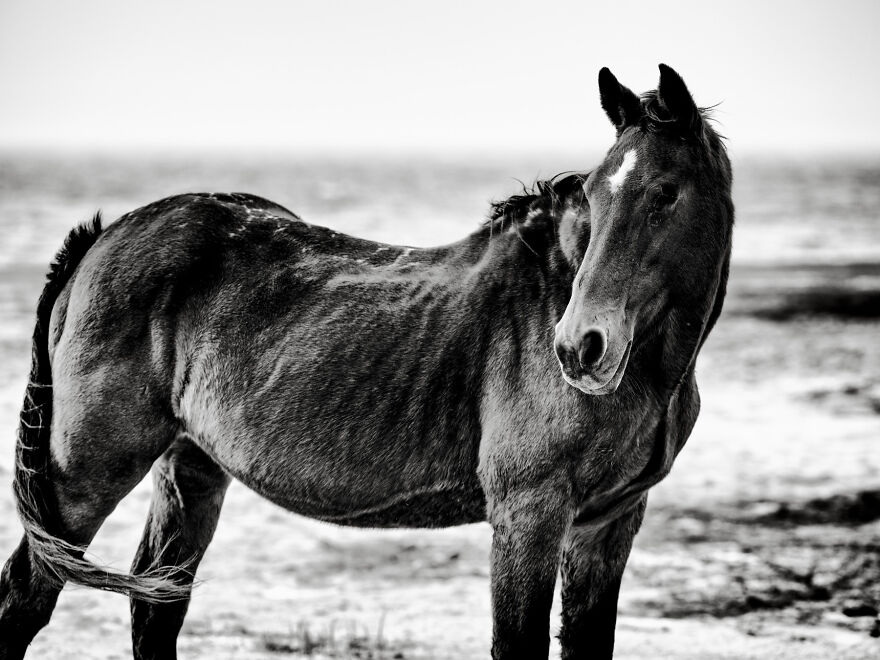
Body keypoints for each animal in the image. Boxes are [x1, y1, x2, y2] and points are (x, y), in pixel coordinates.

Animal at [0, 63, 732, 659]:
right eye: (595, 195)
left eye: (665, 192)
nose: (581, 346)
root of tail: (106, 237)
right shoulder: (529, 515)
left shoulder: (606, 525)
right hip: (84, 474)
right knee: (25, 598)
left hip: (192, 468)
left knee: (154, 609)